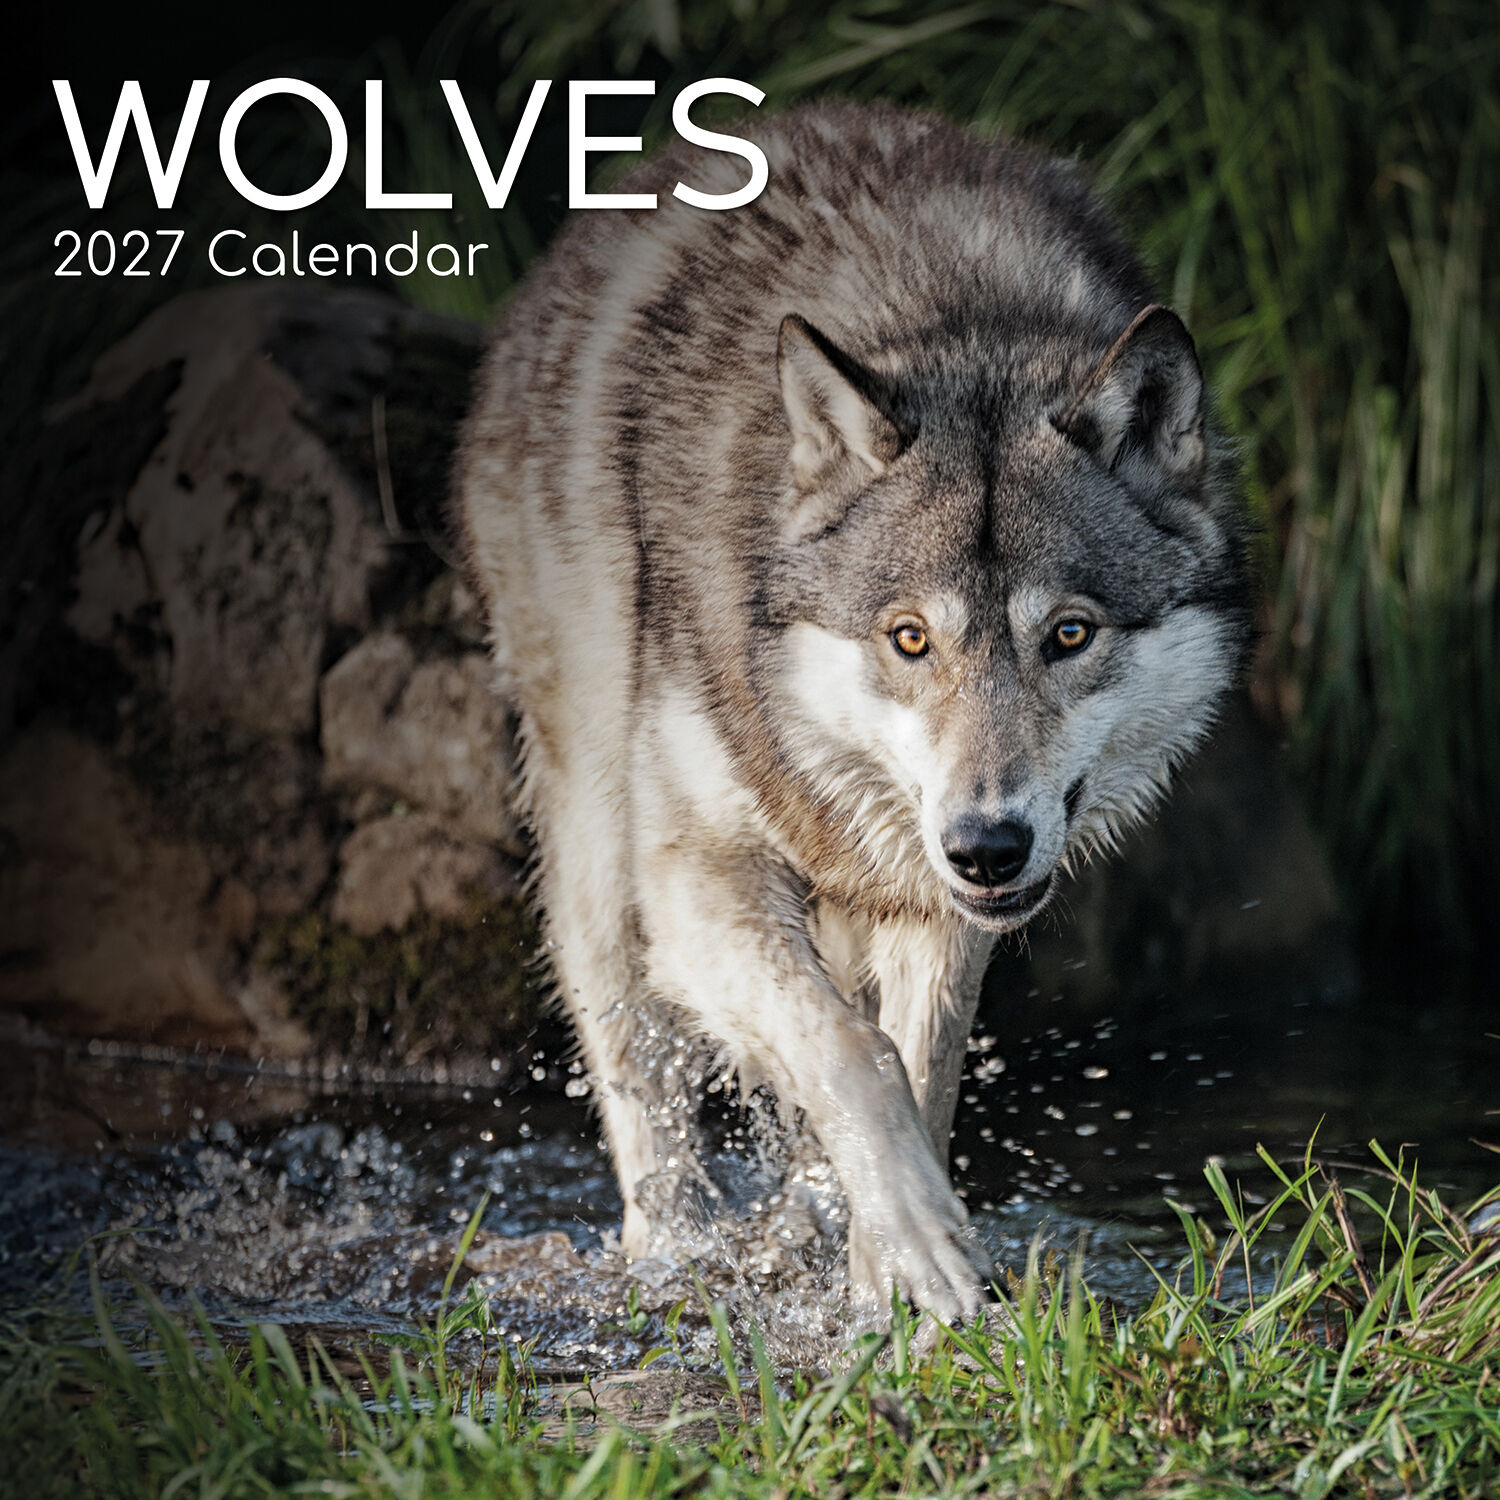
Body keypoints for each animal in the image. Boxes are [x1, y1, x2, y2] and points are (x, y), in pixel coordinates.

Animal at [456, 101, 1251, 1319]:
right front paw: (915, 1238)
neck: (954, 315)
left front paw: (888, 1286)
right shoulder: (693, 874)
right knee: (640, 1063)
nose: (987, 846)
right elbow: (851, 1053)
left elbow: (915, 1071)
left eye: (1069, 635)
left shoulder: (937, 909)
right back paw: (671, 1256)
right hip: (597, 847)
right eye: (909, 638)